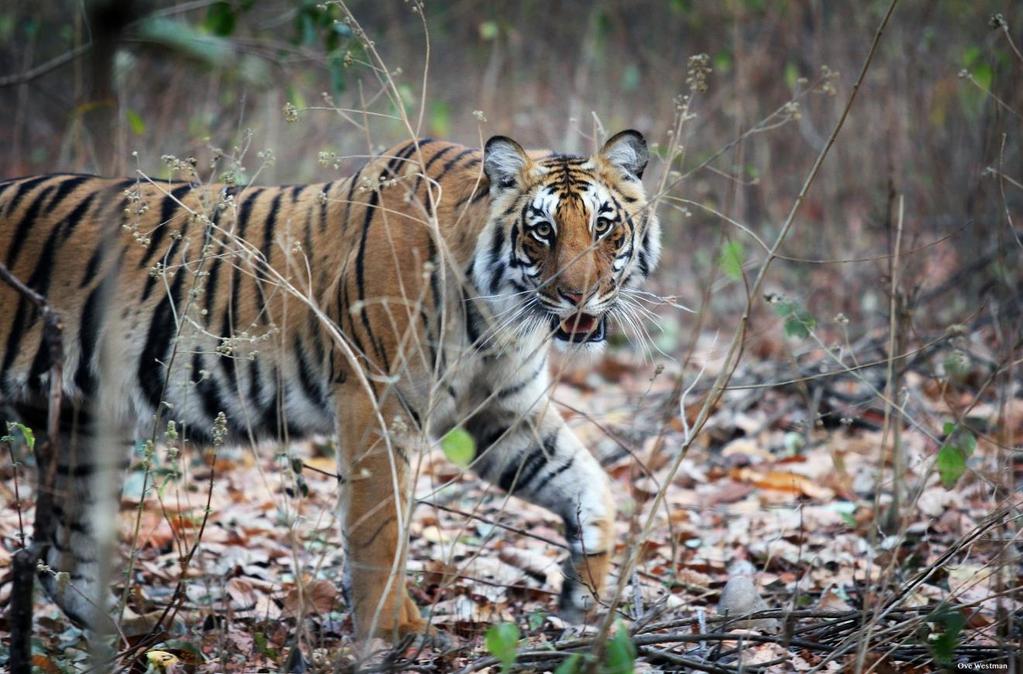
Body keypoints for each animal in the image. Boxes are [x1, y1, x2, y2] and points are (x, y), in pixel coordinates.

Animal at [0, 129, 658, 642]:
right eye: (541, 231)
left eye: (604, 226)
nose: (578, 295)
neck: (502, 315)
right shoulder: (378, 401)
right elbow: (379, 529)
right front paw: (392, 631)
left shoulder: (507, 413)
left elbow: (591, 486)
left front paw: (584, 596)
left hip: (86, 424)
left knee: (65, 554)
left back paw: (131, 632)